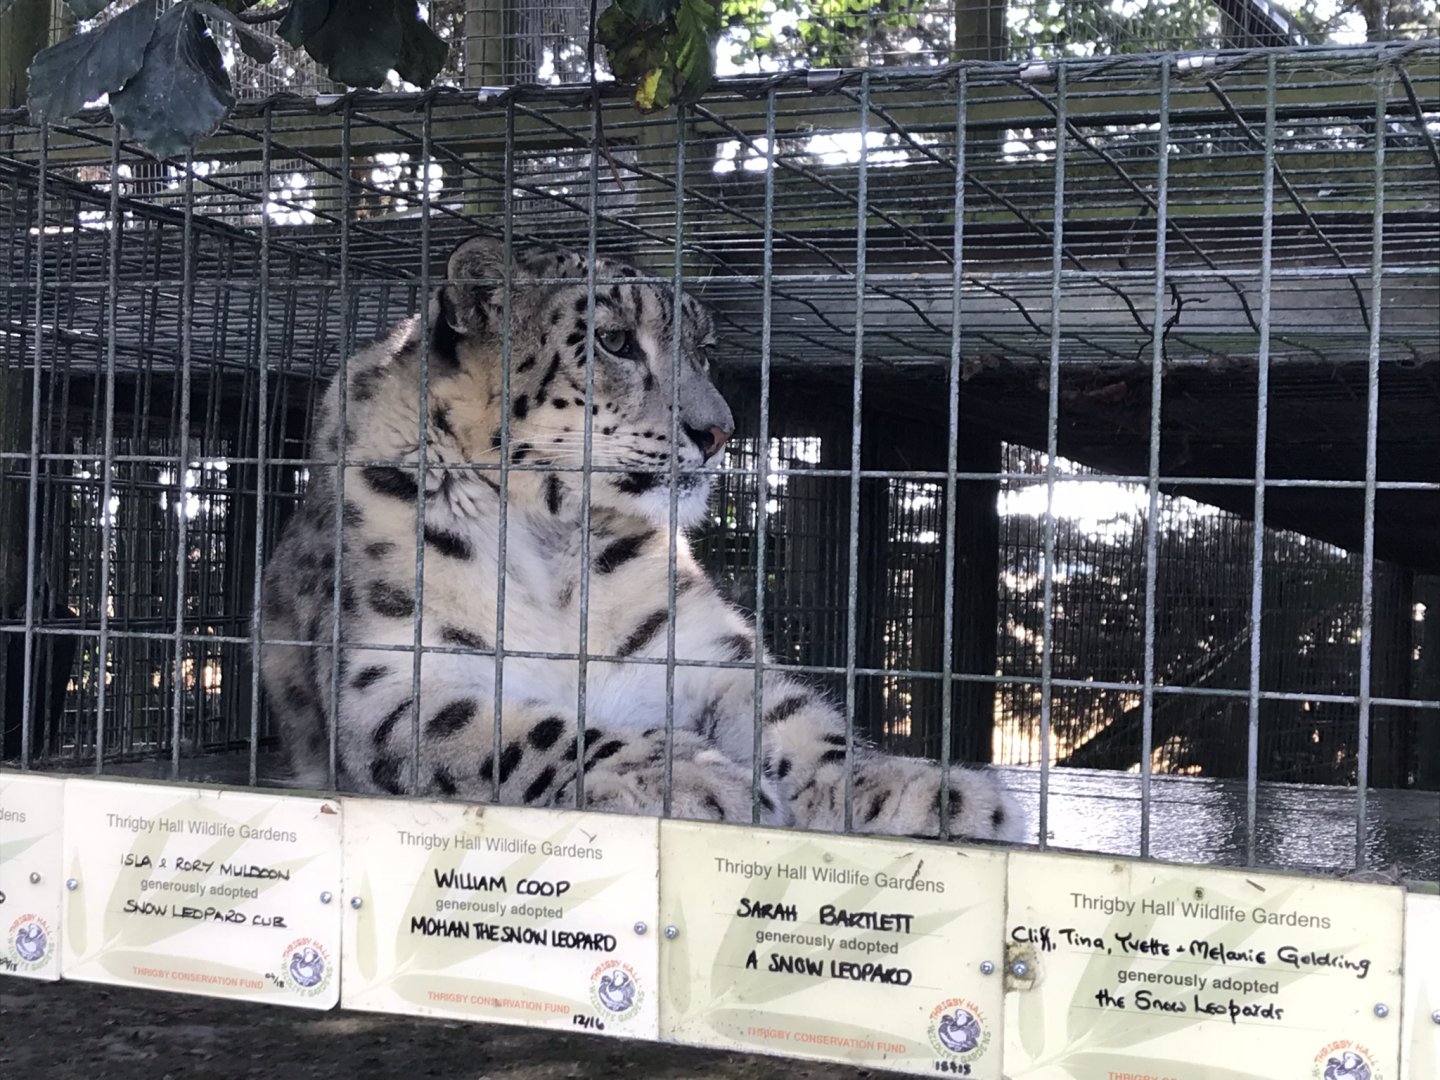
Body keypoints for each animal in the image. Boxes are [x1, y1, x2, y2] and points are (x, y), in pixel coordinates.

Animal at [259, 234, 1025, 843]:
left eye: (704, 351)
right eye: (615, 340)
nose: (719, 432)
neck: (551, 539)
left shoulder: (697, 649)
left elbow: (798, 719)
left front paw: (920, 789)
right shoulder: (391, 676)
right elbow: (522, 729)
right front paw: (687, 775)